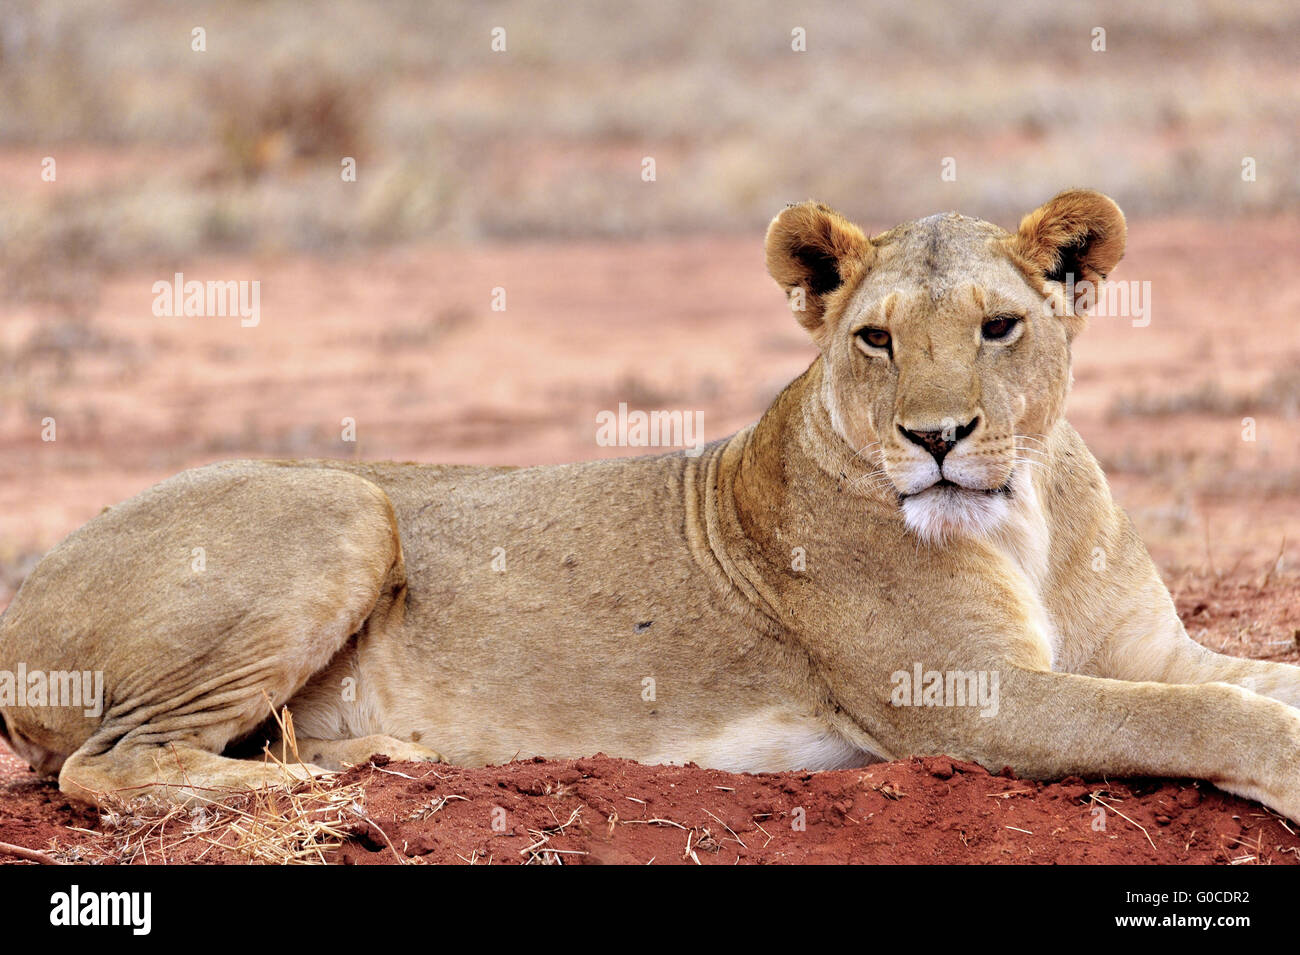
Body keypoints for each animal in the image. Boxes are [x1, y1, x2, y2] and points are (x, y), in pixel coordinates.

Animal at [4, 189, 1300, 821]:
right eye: (876, 339)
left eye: (998, 327)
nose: (935, 439)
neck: (1021, 510)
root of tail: (23, 594)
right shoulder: (963, 704)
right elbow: (1189, 720)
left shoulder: (1149, 648)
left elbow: (1240, 683)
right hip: (339, 504)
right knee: (103, 768)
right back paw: (294, 786)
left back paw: (379, 753)